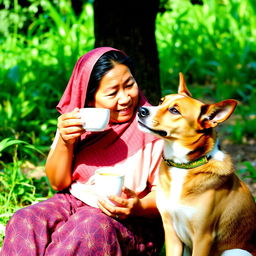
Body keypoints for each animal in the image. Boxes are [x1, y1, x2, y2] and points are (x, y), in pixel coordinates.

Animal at [138, 72, 256, 256]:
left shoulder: (203, 237)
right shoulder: (171, 232)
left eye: (174, 110)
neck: (182, 166)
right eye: (161, 101)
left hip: (235, 251)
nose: (141, 110)